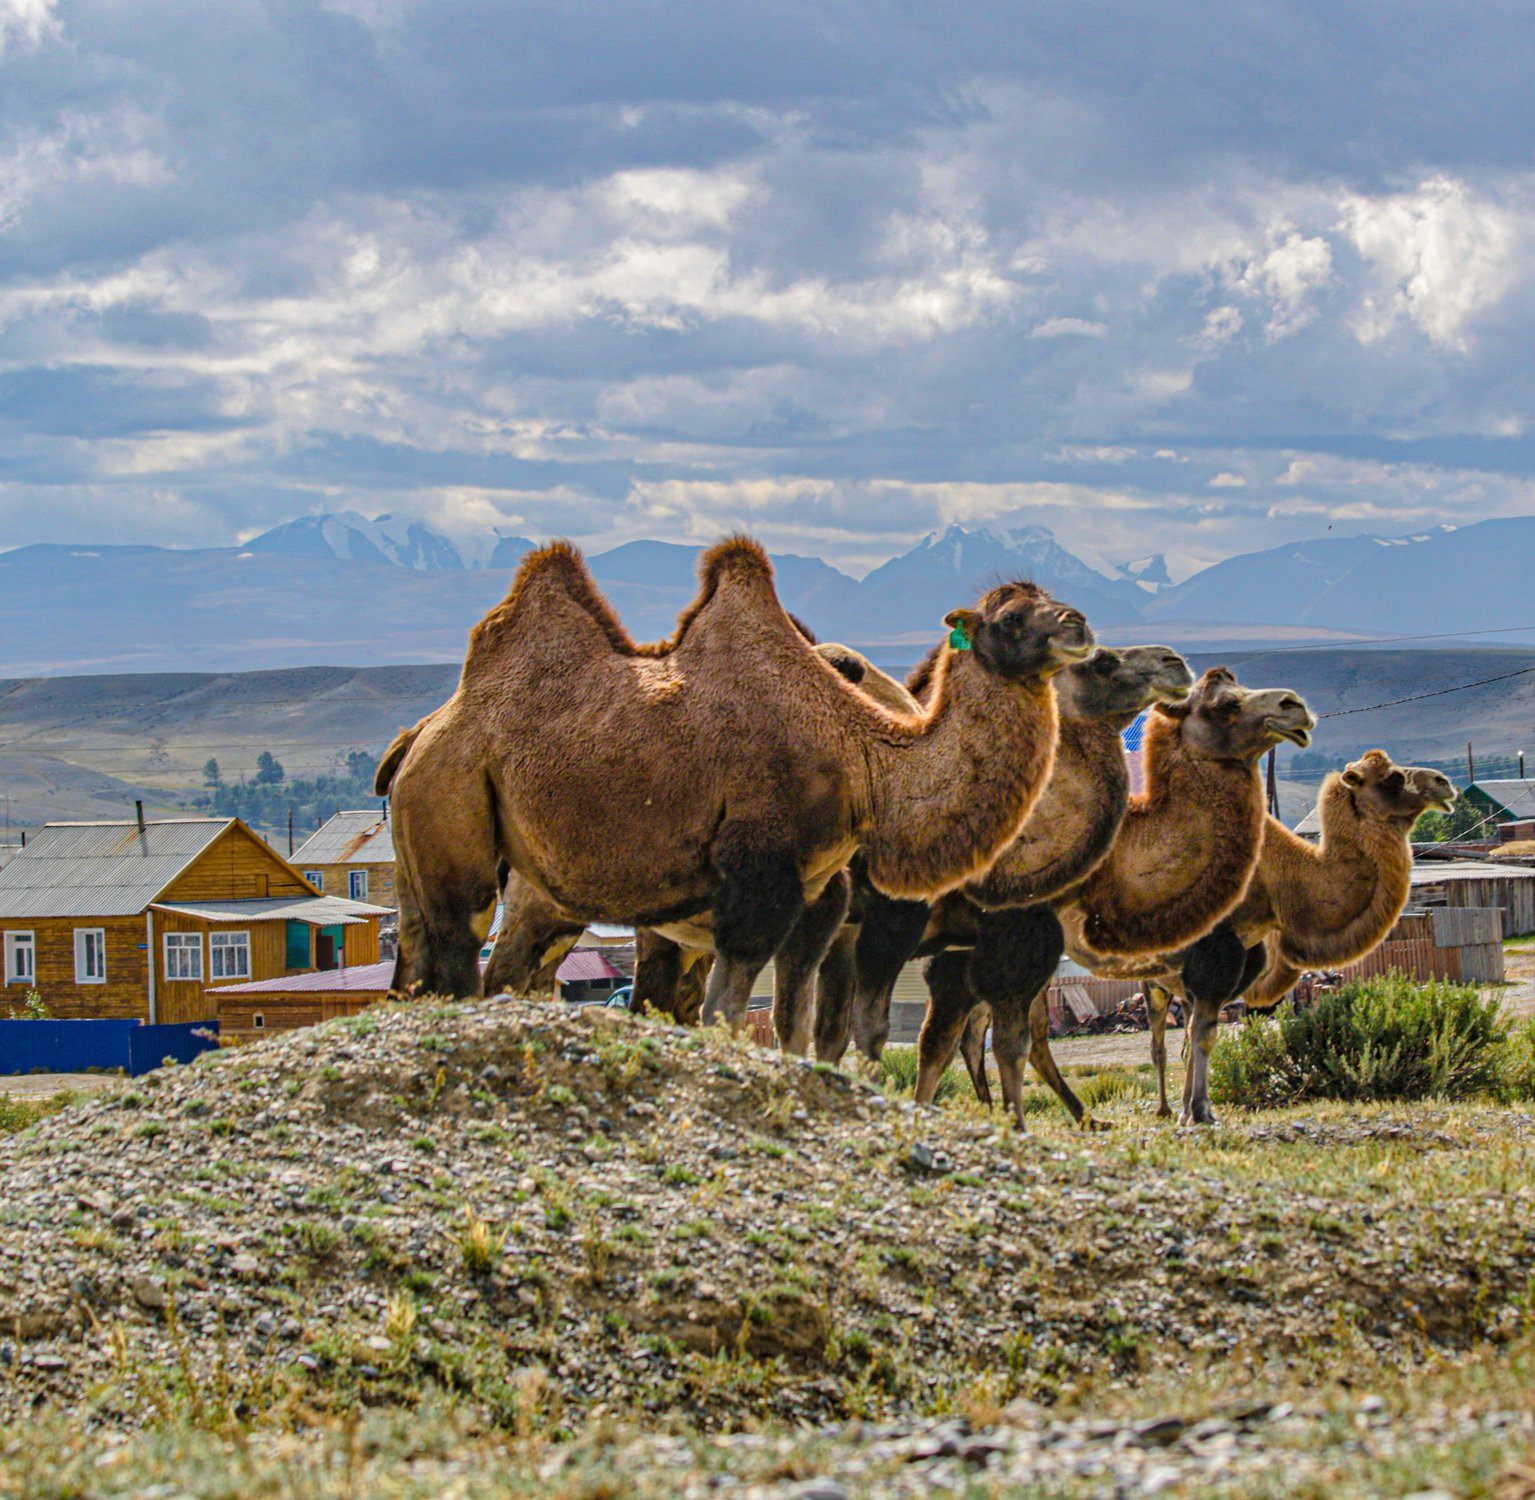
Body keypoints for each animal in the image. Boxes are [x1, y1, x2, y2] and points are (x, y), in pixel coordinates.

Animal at [380, 531, 1092, 1013]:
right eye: (1010, 617)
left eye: (1051, 597)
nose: (1079, 622)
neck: (863, 763)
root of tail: (419, 738)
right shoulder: (757, 879)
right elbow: (726, 1011)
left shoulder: (806, 898)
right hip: (456, 813)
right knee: (462, 955)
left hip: (423, 853)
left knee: (416, 967)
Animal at [1142, 749, 1449, 1123]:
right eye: (1392, 777)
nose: (1443, 783)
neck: (1280, 881)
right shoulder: (1216, 949)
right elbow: (1202, 1032)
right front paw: (1198, 1112)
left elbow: (1197, 1031)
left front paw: (1192, 1110)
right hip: (1154, 984)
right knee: (1158, 1043)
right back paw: (1162, 1108)